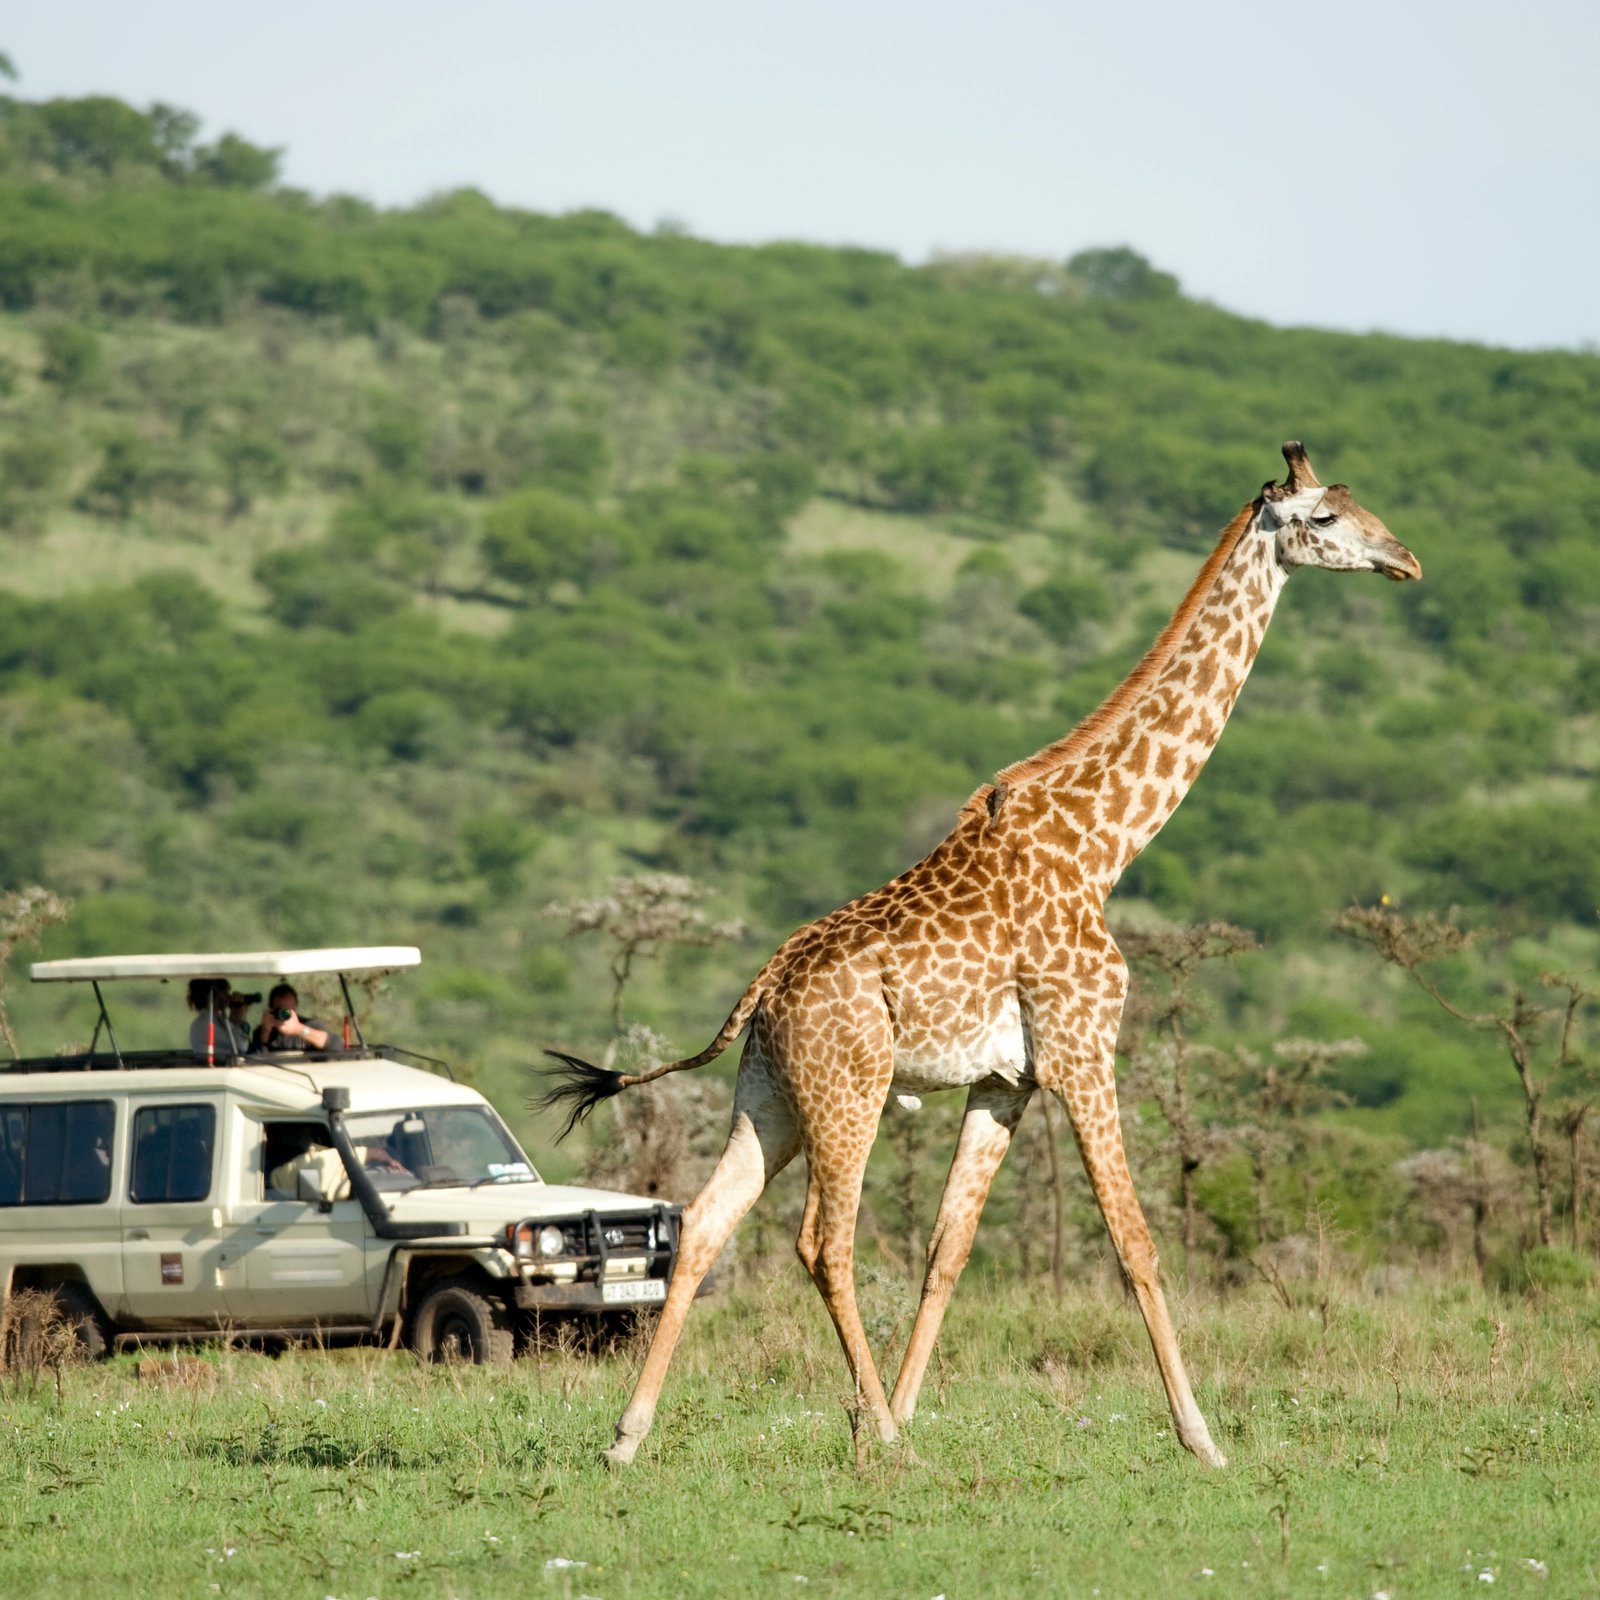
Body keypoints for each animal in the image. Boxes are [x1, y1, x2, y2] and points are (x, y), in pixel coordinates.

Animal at [541, 442, 1421, 1468]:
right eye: (1325, 519)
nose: (1405, 559)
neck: (1104, 844)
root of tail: (763, 989)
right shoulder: (1083, 1048)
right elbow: (1135, 1243)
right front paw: (1202, 1440)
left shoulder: (1007, 1080)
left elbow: (946, 1251)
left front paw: (904, 1406)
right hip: (850, 1090)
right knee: (822, 1243)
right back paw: (880, 1437)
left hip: (770, 1097)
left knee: (707, 1225)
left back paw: (629, 1437)